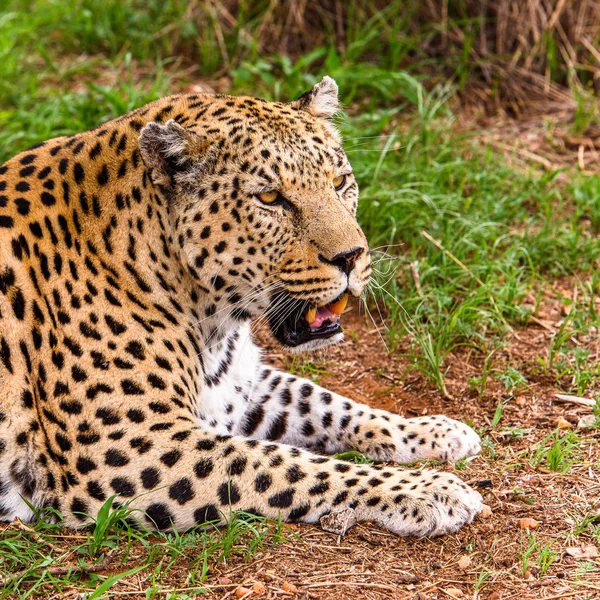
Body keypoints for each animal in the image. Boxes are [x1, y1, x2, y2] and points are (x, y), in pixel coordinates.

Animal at [0, 75, 482, 540]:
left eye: (340, 182)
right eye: (270, 199)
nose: (351, 257)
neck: (210, 318)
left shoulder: (237, 385)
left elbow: (324, 401)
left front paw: (438, 430)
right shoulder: (129, 446)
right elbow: (291, 464)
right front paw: (430, 490)